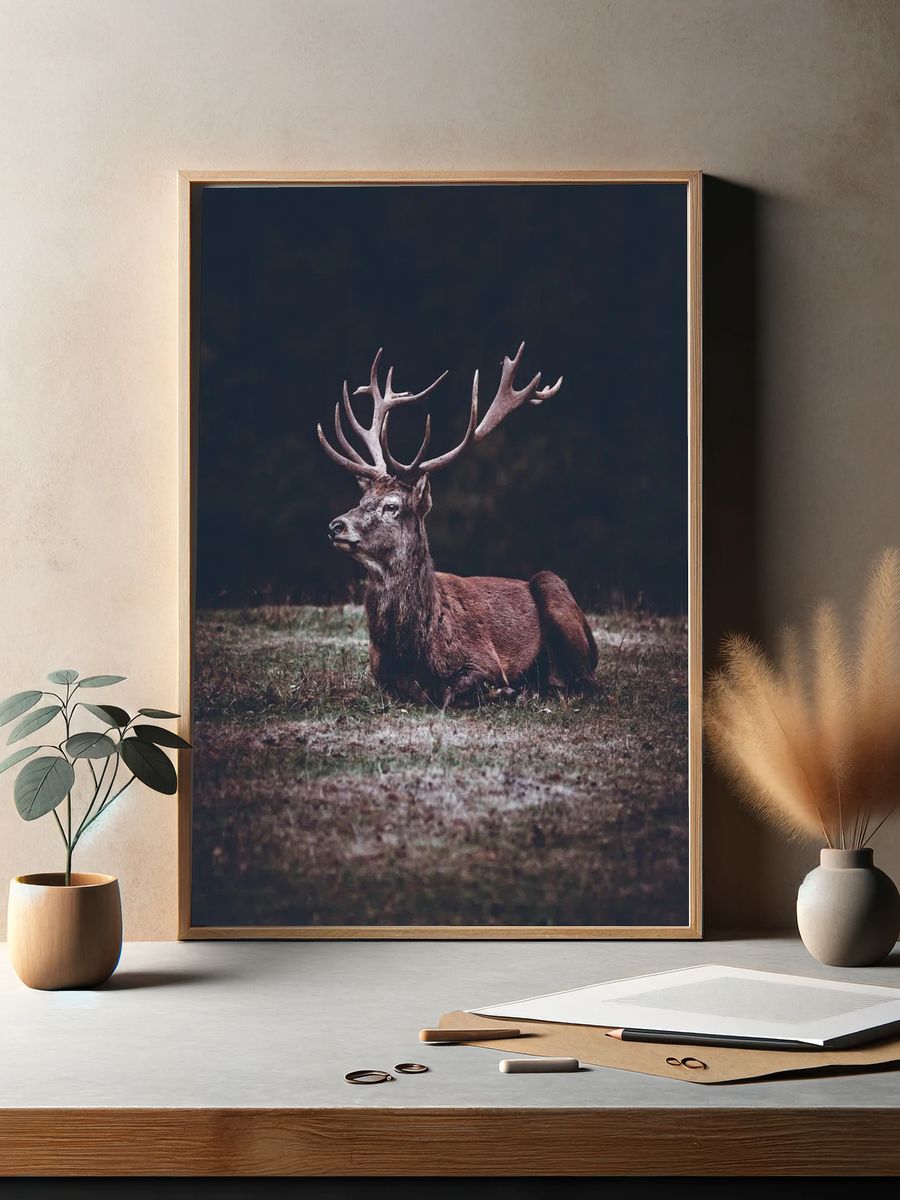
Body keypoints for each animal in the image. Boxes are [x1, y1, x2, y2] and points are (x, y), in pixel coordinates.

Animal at [317, 344, 598, 708]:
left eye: (392, 506)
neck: (412, 650)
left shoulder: (485, 659)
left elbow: (452, 692)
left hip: (554, 589)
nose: (335, 525)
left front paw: (505, 690)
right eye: (362, 500)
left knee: (587, 682)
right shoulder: (380, 676)